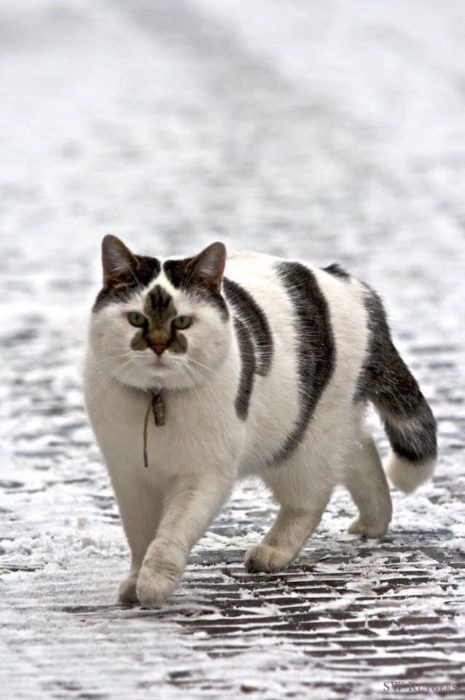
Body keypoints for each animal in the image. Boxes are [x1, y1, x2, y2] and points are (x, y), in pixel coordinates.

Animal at [83, 237, 436, 608]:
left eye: (182, 322)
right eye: (136, 319)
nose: (159, 346)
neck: (157, 398)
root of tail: (350, 283)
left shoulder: (205, 475)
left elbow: (173, 530)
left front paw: (153, 583)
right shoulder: (129, 477)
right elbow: (140, 535)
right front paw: (135, 580)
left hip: (304, 442)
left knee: (311, 499)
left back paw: (274, 551)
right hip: (323, 425)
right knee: (361, 450)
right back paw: (373, 521)